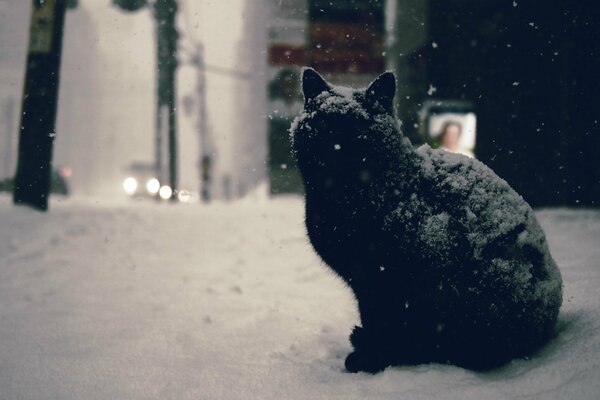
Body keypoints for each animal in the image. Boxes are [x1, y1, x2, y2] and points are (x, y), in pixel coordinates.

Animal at [290, 68, 564, 372]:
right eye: (323, 125)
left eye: (359, 129)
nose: (337, 145)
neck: (344, 200)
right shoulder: (365, 283)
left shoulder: (381, 280)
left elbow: (380, 322)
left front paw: (371, 358)